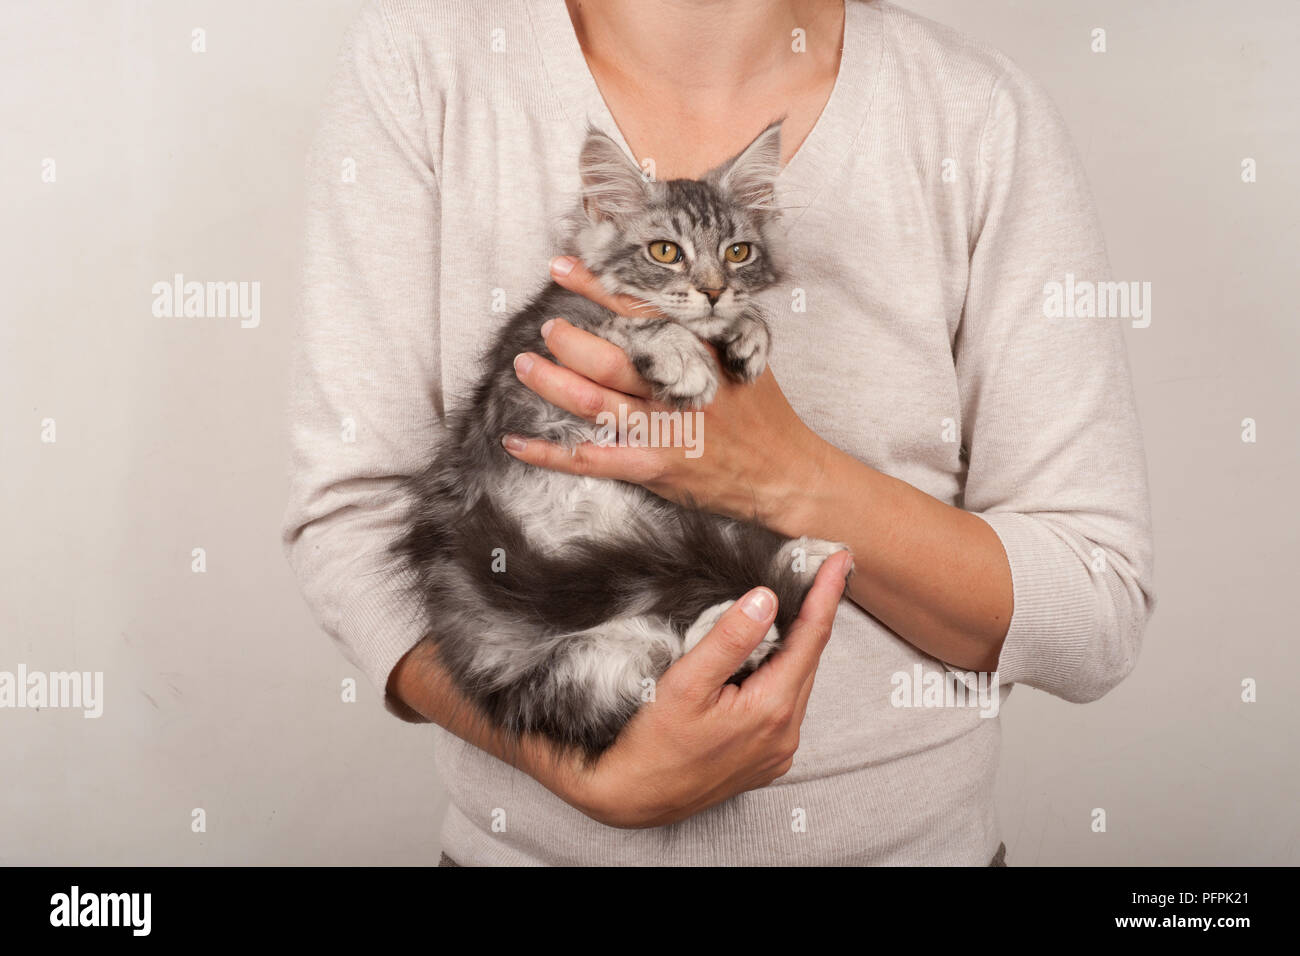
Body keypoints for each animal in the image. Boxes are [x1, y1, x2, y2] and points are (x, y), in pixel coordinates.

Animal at [390, 121, 842, 764]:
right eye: (665, 252)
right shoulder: (535, 349)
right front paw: (681, 353)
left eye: (738, 252)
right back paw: (742, 616)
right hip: (557, 671)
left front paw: (748, 333)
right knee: (654, 675)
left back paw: (793, 566)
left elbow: (740, 320)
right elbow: (630, 319)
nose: (712, 292)